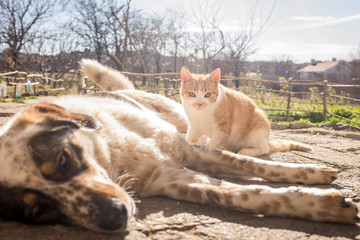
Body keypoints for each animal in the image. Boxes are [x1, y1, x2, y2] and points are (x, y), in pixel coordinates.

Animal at [180, 66, 312, 157]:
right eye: (192, 94)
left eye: (207, 95)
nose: (199, 103)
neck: (201, 114)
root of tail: (266, 140)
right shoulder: (194, 127)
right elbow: (190, 139)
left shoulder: (221, 129)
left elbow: (214, 144)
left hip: (258, 125)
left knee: (264, 149)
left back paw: (245, 151)